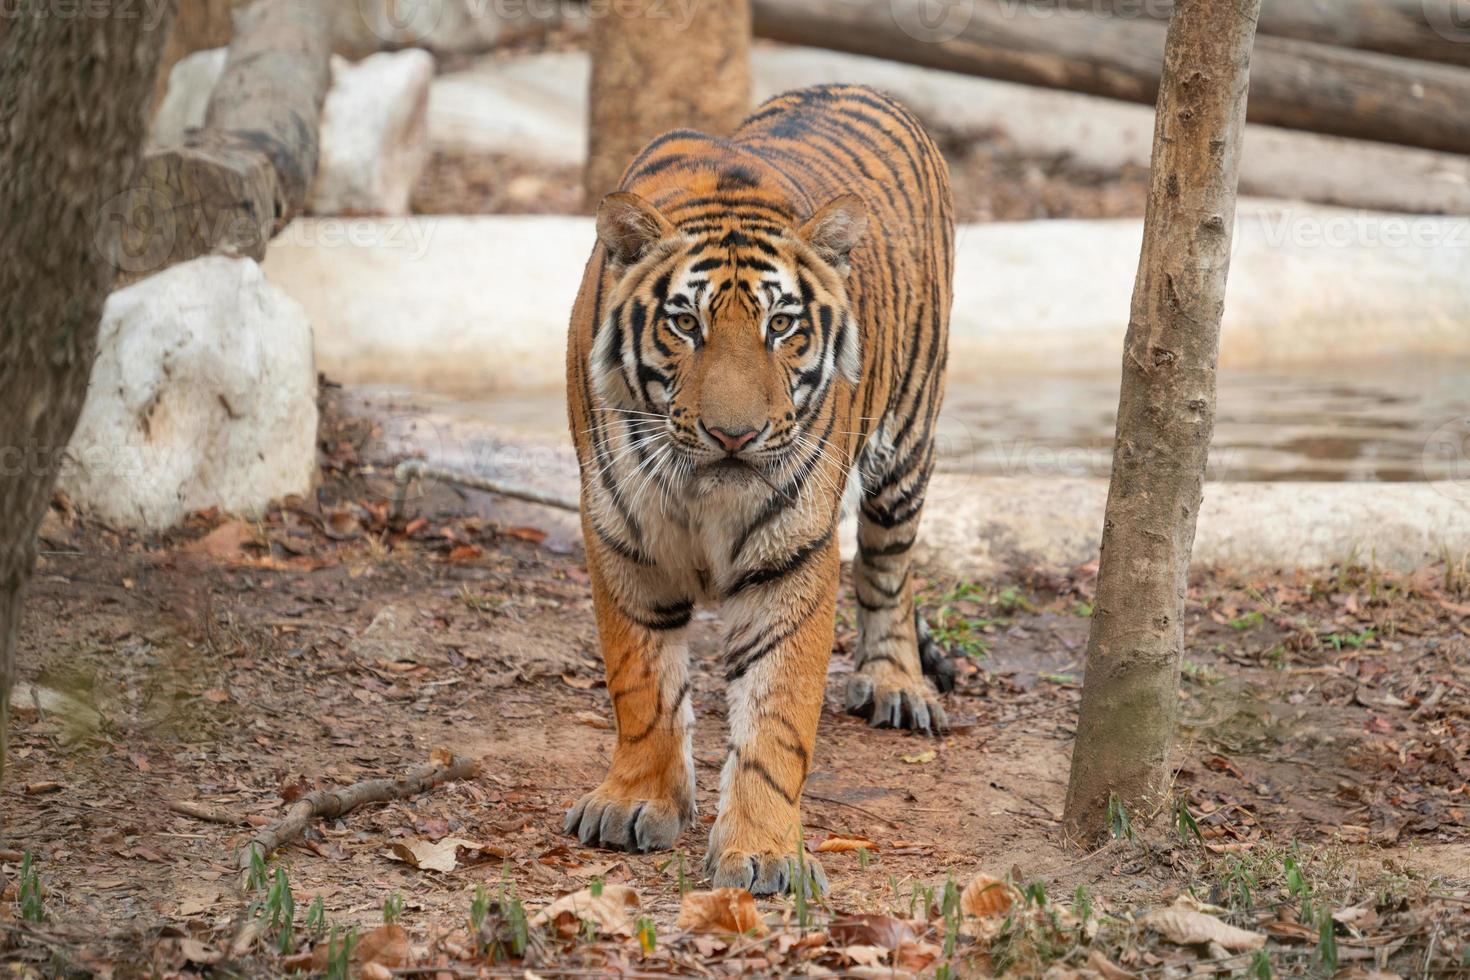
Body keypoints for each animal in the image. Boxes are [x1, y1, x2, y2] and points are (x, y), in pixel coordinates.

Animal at [558, 86, 952, 899]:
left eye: (782, 326)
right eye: (684, 323)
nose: (733, 435)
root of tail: (863, 87)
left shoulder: (792, 555)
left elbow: (778, 718)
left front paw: (765, 852)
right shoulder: (620, 535)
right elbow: (640, 685)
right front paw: (635, 801)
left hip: (907, 442)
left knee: (889, 570)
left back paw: (895, 682)